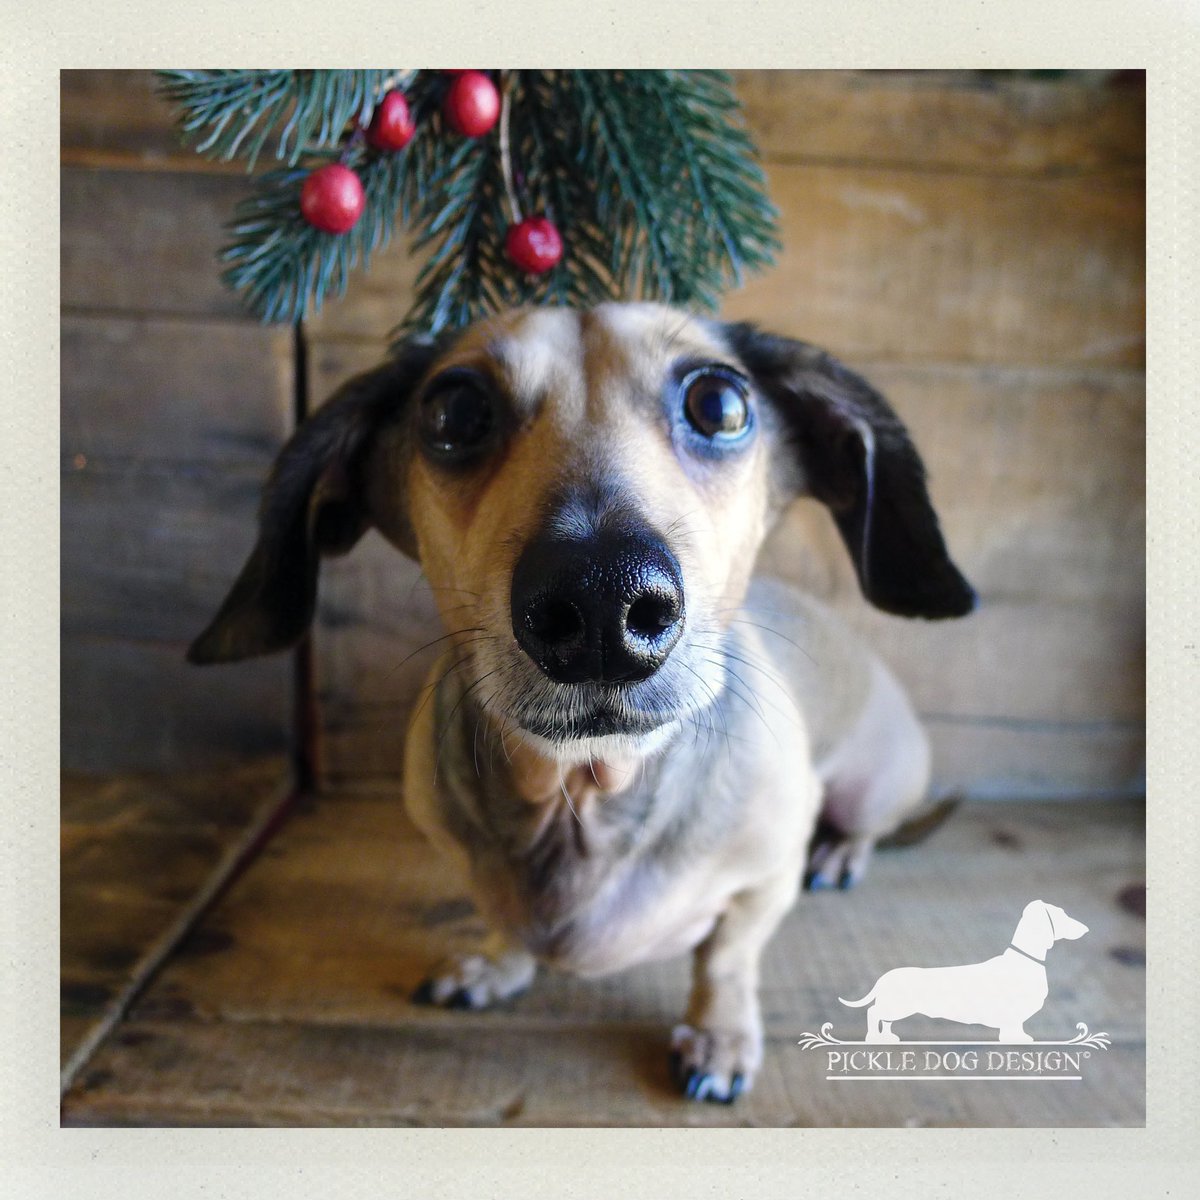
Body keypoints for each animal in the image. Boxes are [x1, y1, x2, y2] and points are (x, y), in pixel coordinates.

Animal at [187, 302, 974, 1104]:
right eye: (454, 411)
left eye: (720, 403)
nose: (604, 598)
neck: (581, 792)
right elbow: (500, 917)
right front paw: (495, 963)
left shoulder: (763, 880)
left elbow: (726, 958)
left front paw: (719, 1038)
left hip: (869, 787)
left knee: (865, 827)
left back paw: (841, 852)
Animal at [844, 897, 1089, 1046]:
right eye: (1062, 914)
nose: (1086, 929)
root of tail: (885, 977)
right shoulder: (1012, 1012)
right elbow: (1012, 1028)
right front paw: (1015, 1039)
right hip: (897, 1007)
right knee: (873, 1013)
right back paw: (873, 1038)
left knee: (885, 1020)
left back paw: (888, 1037)